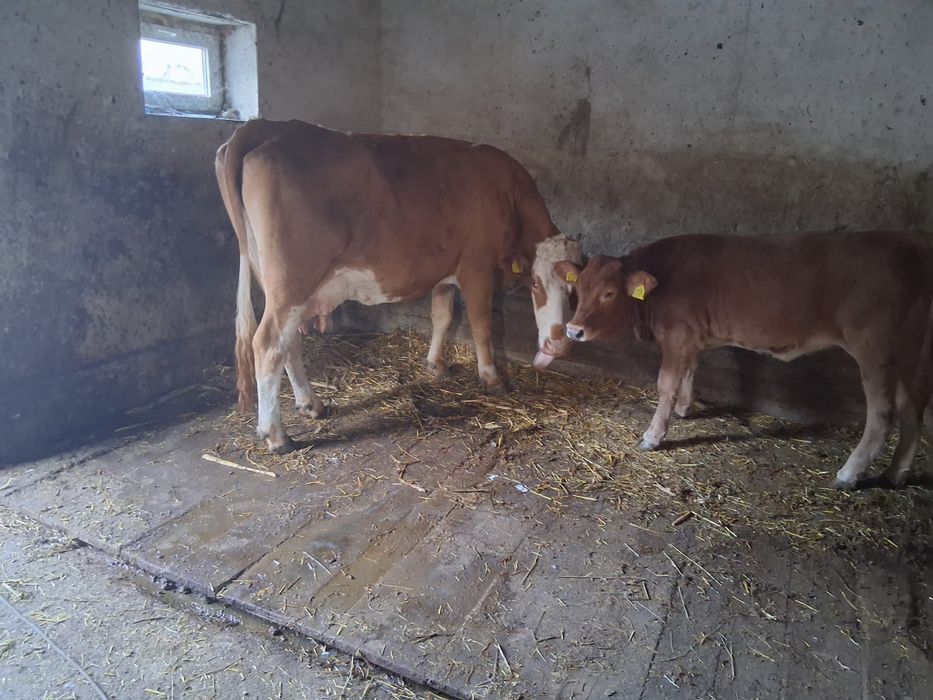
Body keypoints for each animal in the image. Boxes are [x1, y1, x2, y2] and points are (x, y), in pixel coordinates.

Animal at [215, 119, 582, 454]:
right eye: (535, 283)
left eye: (572, 291)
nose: (558, 344)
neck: (506, 191)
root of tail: (266, 126)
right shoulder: (477, 268)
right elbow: (481, 325)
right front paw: (492, 378)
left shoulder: (445, 270)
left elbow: (442, 316)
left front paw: (436, 364)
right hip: (292, 284)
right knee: (267, 344)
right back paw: (276, 436)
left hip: (282, 288)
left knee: (288, 343)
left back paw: (311, 404)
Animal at [555, 231, 933, 489]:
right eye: (579, 288)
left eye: (609, 293)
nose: (574, 330)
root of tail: (908, 247)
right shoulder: (692, 337)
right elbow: (690, 371)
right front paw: (685, 408)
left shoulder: (678, 334)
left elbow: (666, 382)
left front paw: (654, 434)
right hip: (906, 350)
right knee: (912, 406)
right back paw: (896, 472)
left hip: (873, 348)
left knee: (882, 413)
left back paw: (849, 473)